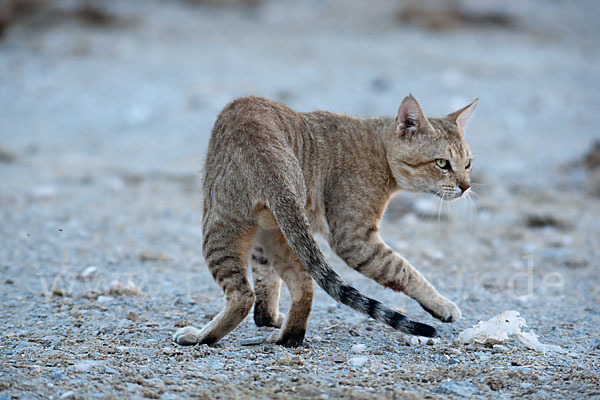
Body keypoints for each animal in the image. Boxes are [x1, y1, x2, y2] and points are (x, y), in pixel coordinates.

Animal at [173, 94, 478, 346]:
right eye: (442, 163)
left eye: (467, 164)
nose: (466, 186)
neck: (379, 148)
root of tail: (268, 154)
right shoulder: (352, 239)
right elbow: (404, 270)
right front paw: (442, 304)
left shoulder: (342, 238)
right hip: (265, 229)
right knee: (290, 286)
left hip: (243, 227)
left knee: (263, 291)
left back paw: (216, 336)